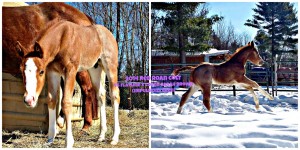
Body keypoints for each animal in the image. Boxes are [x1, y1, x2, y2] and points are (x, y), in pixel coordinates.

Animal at [2, 2, 98, 130]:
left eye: (41, 71)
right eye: (21, 70)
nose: (29, 100)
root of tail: (84, 16)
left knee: (87, 88)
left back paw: (85, 125)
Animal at [17, 20, 119, 148]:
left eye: (41, 71)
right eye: (21, 70)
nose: (29, 100)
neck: (61, 40)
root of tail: (109, 34)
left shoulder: (70, 71)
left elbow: (66, 102)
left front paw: (69, 142)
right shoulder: (53, 72)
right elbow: (51, 100)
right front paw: (50, 139)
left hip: (110, 66)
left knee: (115, 95)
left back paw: (114, 137)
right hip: (95, 68)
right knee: (101, 94)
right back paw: (101, 135)